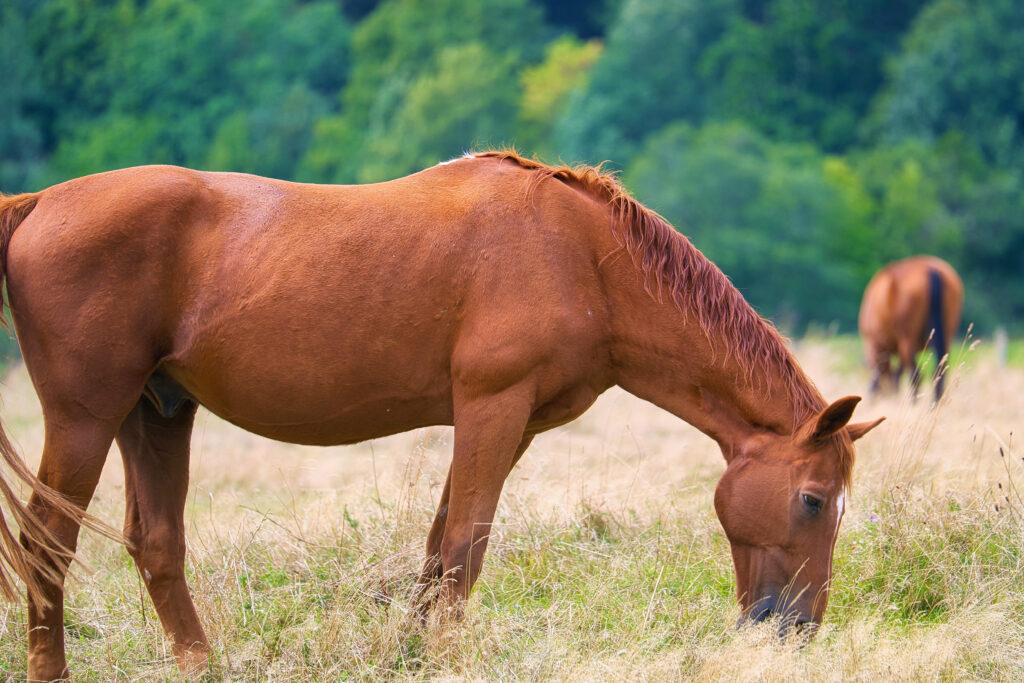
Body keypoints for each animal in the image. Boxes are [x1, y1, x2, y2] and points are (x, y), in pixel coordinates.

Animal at [0, 150, 883, 680]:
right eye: (813, 501)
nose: (795, 628)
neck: (583, 256)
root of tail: (38, 202)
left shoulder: (511, 425)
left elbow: (438, 549)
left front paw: (414, 651)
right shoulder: (492, 408)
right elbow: (465, 547)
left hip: (156, 412)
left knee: (156, 543)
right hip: (87, 416)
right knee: (46, 543)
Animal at [858, 255, 964, 402]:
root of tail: (931, 270)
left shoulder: (873, 343)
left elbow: (879, 375)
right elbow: (897, 375)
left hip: (907, 339)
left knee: (916, 376)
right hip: (945, 336)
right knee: (938, 374)